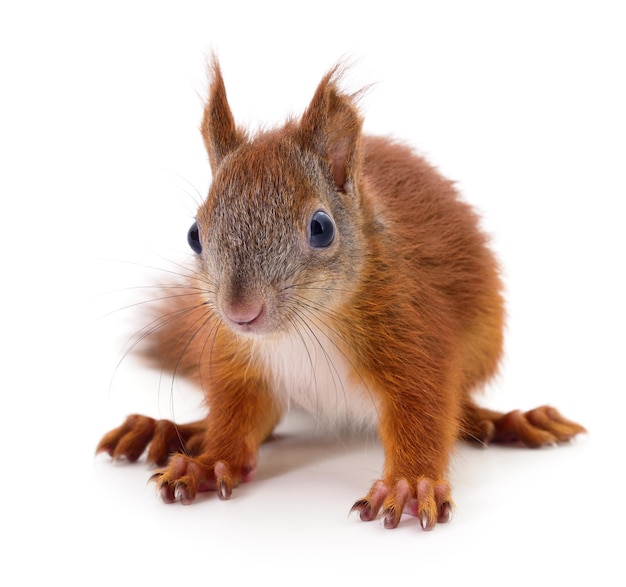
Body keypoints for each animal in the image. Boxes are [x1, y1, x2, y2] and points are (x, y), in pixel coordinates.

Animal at [95, 59, 584, 532]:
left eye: (321, 228)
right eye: (194, 234)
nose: (240, 312)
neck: (301, 329)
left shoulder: (413, 329)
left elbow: (425, 407)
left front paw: (410, 484)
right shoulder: (236, 358)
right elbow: (236, 417)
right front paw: (209, 461)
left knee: (461, 404)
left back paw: (504, 421)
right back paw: (170, 430)